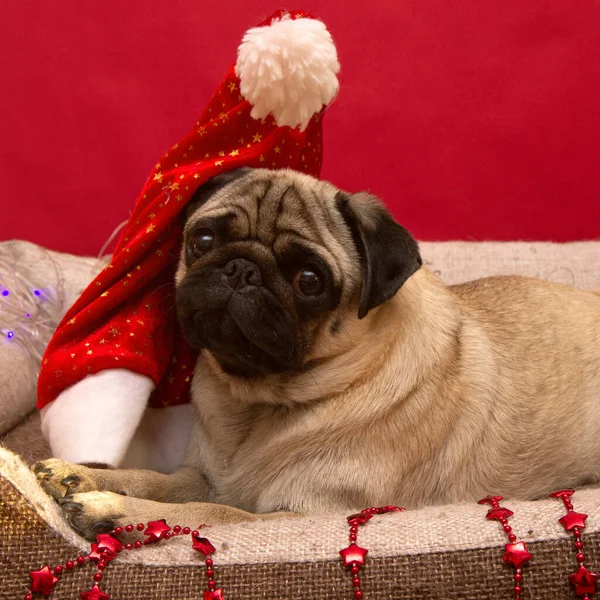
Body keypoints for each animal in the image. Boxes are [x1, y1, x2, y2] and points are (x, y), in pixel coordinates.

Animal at [32, 169, 600, 540]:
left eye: (310, 281)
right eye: (204, 239)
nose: (241, 269)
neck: (259, 405)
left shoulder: (301, 515)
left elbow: (207, 514)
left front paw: (114, 510)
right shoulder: (207, 477)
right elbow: (155, 480)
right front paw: (84, 476)